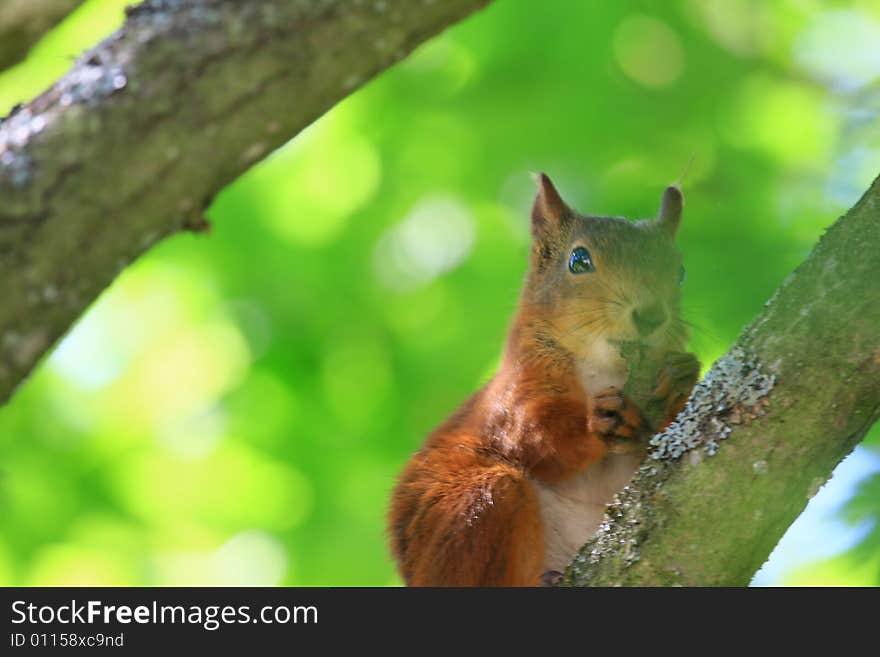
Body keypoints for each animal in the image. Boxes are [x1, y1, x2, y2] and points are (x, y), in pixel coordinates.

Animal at [388, 174, 696, 584]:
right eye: (579, 261)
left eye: (680, 272)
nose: (651, 316)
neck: (606, 369)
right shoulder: (516, 390)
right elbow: (532, 435)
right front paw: (598, 420)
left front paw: (681, 376)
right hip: (473, 511)